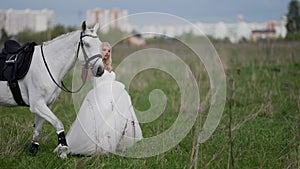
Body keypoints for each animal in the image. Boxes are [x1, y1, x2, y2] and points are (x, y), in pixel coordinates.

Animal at [0, 21, 104, 158]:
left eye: (100, 44)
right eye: (86, 44)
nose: (100, 70)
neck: (49, 64)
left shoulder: (46, 105)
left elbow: (38, 129)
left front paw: (33, 151)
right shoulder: (37, 105)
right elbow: (58, 123)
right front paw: (63, 151)